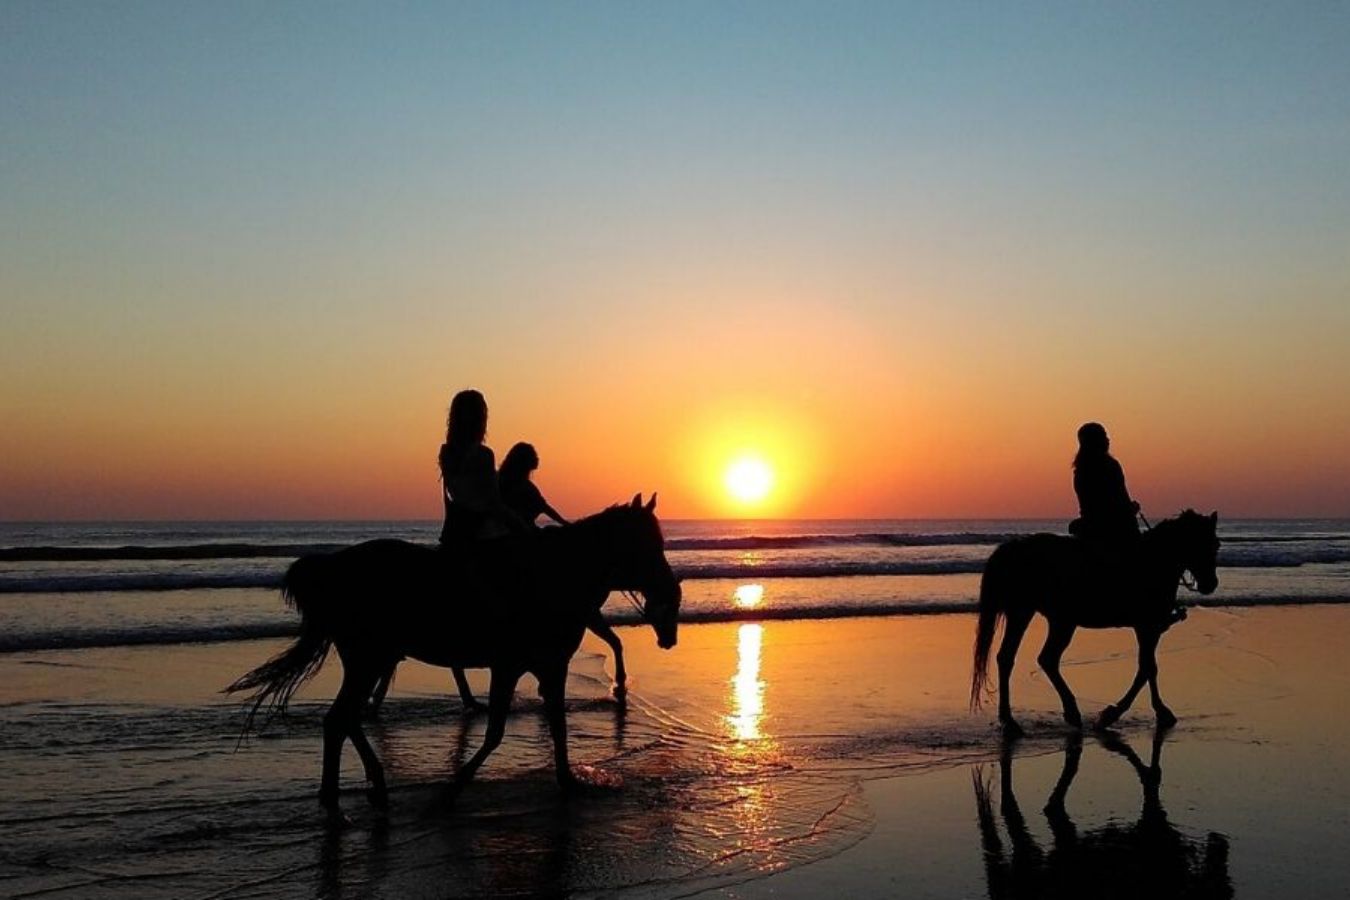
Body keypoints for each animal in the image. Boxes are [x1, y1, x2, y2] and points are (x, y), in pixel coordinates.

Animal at [228, 493, 685, 814]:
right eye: (647, 544)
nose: (671, 592)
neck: (551, 575)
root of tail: (331, 567)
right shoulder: (510, 666)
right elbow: (498, 731)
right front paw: (452, 790)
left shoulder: (549, 667)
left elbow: (556, 726)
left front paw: (568, 782)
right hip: (368, 659)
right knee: (341, 719)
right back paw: (346, 794)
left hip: (370, 660)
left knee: (344, 719)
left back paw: (364, 788)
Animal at [966, 510, 1220, 734]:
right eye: (1201, 543)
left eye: (1215, 545)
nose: (1210, 584)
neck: (1153, 562)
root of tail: (1012, 548)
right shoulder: (1147, 627)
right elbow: (1148, 668)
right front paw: (1117, 714)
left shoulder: (1148, 629)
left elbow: (1147, 668)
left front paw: (1155, 711)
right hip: (1037, 615)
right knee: (1032, 658)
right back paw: (1040, 716)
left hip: (1047, 618)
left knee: (1024, 658)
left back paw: (1024, 718)